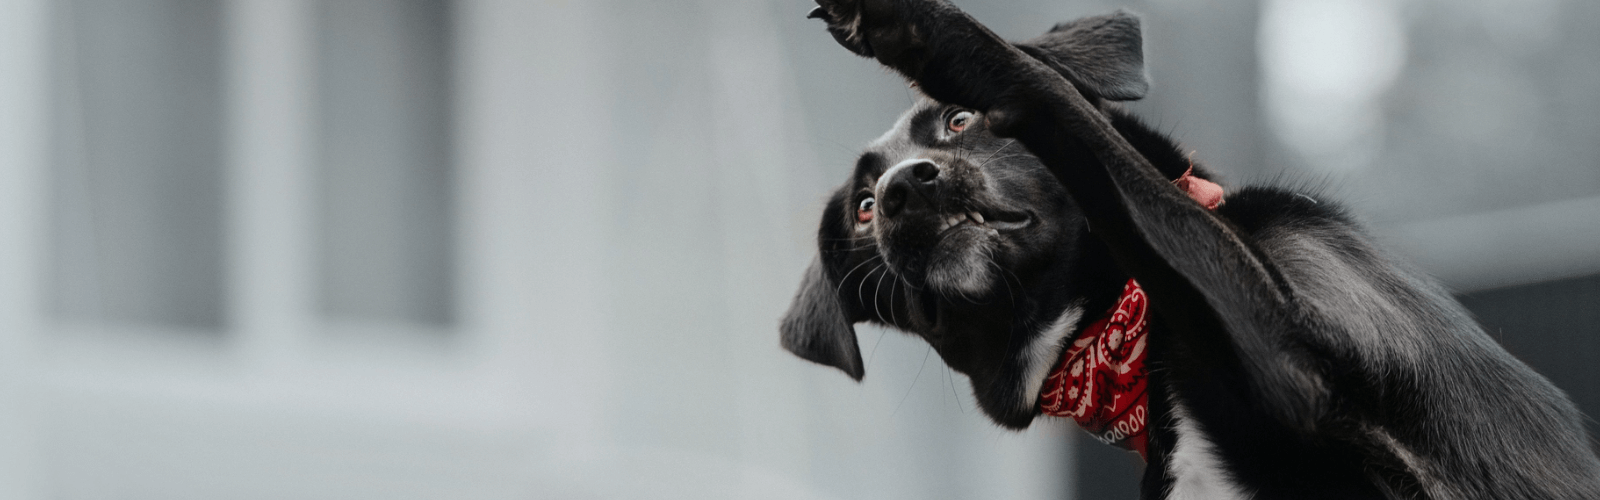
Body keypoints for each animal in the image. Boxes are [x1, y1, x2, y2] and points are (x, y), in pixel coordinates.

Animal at [784, 1, 1600, 496]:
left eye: (958, 121)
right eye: (862, 208)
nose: (903, 191)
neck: (1127, 337)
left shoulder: (1306, 365)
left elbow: (1065, 104)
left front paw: (930, 31)